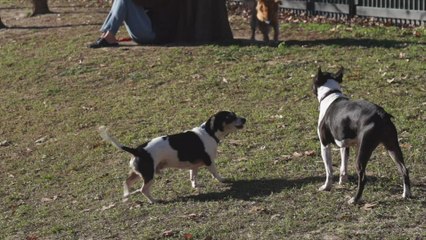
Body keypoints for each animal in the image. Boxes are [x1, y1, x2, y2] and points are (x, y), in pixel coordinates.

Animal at [100, 110, 246, 202]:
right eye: (230, 117)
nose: (245, 119)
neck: (209, 132)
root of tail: (137, 150)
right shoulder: (209, 161)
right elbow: (215, 173)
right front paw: (222, 180)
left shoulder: (194, 165)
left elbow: (193, 176)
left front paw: (195, 186)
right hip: (149, 175)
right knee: (143, 189)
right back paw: (153, 200)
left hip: (138, 173)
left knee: (126, 182)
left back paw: (126, 197)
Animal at [312, 67, 412, 204]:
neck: (330, 94)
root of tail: (381, 115)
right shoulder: (345, 144)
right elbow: (343, 165)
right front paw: (343, 182)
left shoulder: (325, 144)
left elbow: (329, 170)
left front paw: (327, 187)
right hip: (392, 146)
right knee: (403, 169)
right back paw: (406, 194)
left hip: (363, 150)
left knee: (363, 176)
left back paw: (355, 199)